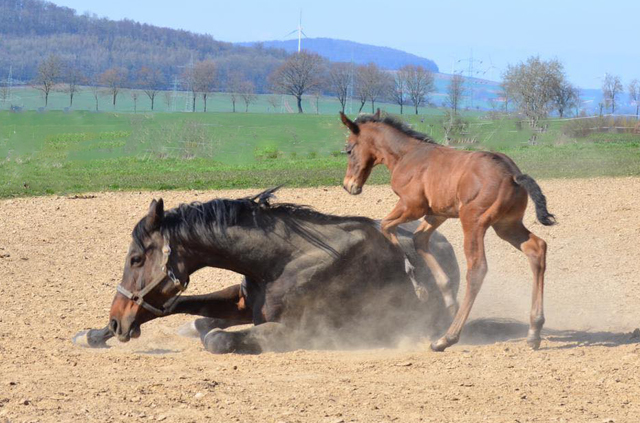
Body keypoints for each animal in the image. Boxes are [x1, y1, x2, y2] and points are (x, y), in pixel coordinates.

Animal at [81, 190, 460, 354]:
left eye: (136, 259)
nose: (117, 320)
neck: (282, 261)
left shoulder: (298, 331)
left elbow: (217, 338)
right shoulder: (243, 300)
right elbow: (180, 305)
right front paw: (95, 334)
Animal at [340, 111, 556, 352]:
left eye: (349, 149)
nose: (349, 186)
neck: (407, 155)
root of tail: (513, 175)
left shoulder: (412, 206)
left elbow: (386, 226)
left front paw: (419, 287)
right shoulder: (437, 214)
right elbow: (418, 239)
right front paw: (449, 300)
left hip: (473, 223)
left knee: (477, 269)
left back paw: (447, 338)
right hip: (507, 226)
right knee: (537, 248)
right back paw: (534, 331)